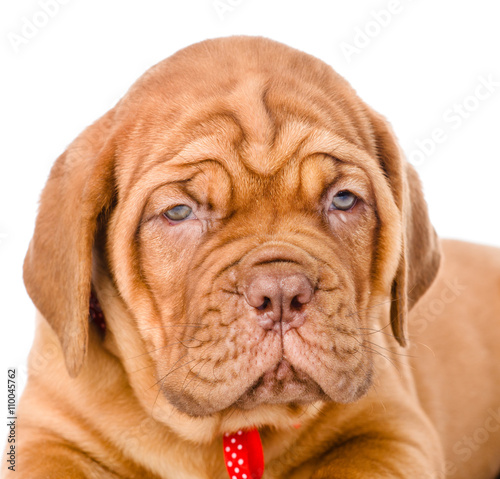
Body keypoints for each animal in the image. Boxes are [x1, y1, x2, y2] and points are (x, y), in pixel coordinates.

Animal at [3, 35, 500, 478]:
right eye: (179, 211)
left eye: (343, 200)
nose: (281, 293)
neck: (226, 431)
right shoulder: (46, 436)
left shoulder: (392, 431)